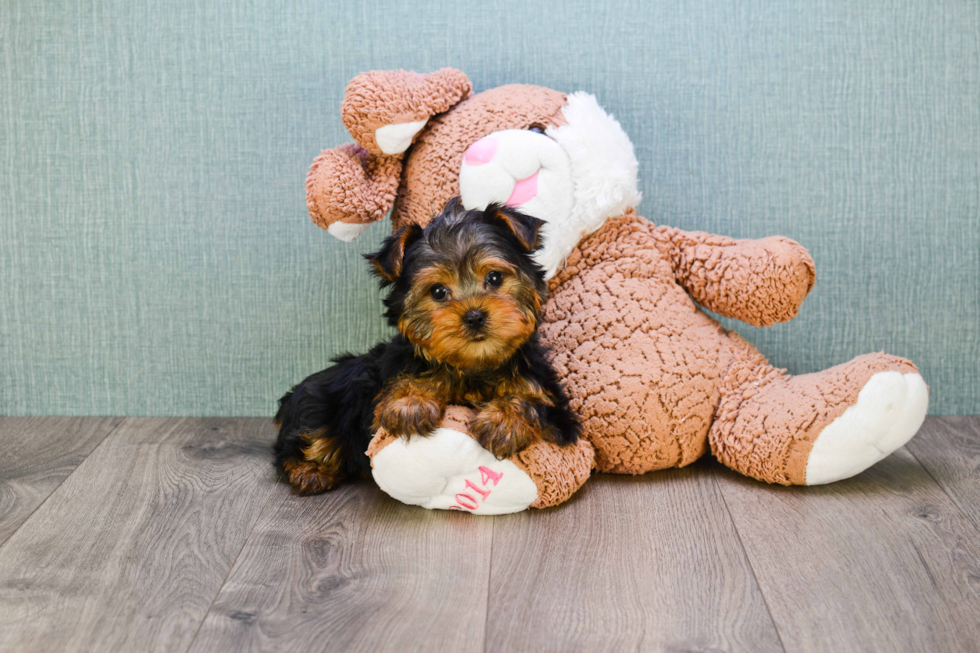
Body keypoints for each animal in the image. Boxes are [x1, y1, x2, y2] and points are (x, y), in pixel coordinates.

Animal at [276, 199, 580, 494]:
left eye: (495, 278)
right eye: (437, 291)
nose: (474, 316)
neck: (473, 366)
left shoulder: (555, 409)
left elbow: (531, 400)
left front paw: (504, 421)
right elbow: (406, 381)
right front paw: (411, 402)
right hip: (317, 403)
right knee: (304, 440)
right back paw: (310, 473)